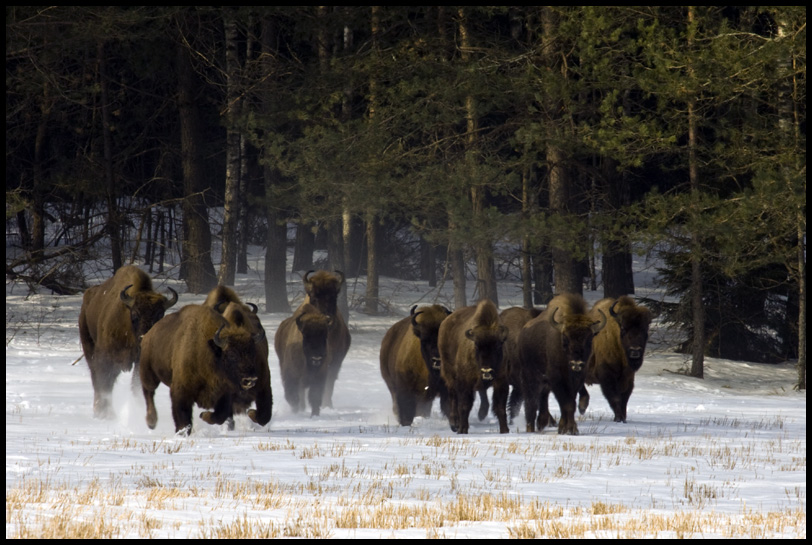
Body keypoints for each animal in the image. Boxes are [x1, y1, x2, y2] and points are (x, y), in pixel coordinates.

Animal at [77, 266, 178, 418]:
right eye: (135, 314)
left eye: (160, 315)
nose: (145, 338)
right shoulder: (105, 357)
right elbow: (105, 383)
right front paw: (105, 414)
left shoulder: (139, 362)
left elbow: (136, 386)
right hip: (89, 347)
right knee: (96, 379)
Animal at [138, 302, 268, 434]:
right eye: (232, 355)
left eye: (253, 353)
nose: (250, 379)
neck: (211, 351)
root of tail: (148, 334)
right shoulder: (181, 391)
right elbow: (183, 417)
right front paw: (182, 432)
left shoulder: (224, 393)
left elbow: (220, 415)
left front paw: (203, 415)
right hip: (149, 373)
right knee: (148, 392)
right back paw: (151, 422)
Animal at [298, 270, 348, 406]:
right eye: (314, 298)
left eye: (334, 297)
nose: (327, 319)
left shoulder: (335, 361)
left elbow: (328, 383)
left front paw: (327, 404)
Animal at [438, 298, 508, 434]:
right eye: (476, 346)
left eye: (498, 346)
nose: (487, 370)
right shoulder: (465, 382)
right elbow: (464, 405)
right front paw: (462, 429)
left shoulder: (501, 381)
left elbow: (500, 406)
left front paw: (505, 430)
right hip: (449, 374)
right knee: (453, 396)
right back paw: (454, 423)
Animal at [520, 294, 604, 434]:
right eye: (565, 339)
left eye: (589, 339)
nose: (577, 363)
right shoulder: (557, 380)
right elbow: (567, 404)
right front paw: (569, 429)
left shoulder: (577, 380)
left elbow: (570, 403)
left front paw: (567, 428)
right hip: (530, 377)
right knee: (531, 401)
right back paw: (530, 428)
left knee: (543, 398)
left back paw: (541, 423)